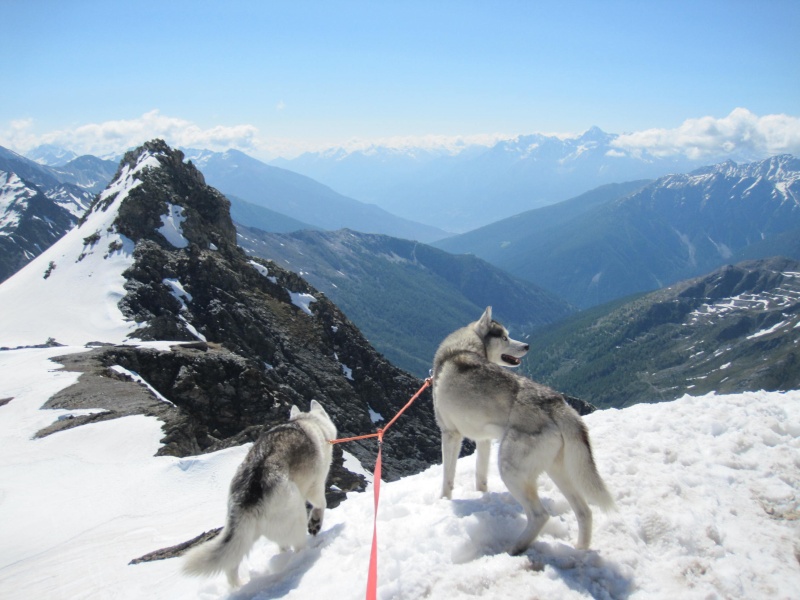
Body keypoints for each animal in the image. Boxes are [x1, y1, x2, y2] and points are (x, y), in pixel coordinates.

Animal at [185, 400, 338, 584]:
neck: (310, 422)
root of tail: (248, 494)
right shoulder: (315, 485)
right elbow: (321, 504)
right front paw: (315, 522)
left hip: (245, 534)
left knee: (232, 565)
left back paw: (240, 584)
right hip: (295, 512)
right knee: (298, 546)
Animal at [432, 308, 612, 556]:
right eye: (504, 337)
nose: (527, 346)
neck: (464, 347)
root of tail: (556, 404)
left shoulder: (450, 434)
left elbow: (447, 479)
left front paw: (444, 502)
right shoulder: (483, 440)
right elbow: (480, 477)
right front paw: (482, 497)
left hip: (511, 471)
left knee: (540, 515)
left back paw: (515, 548)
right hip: (558, 471)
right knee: (584, 511)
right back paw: (580, 550)